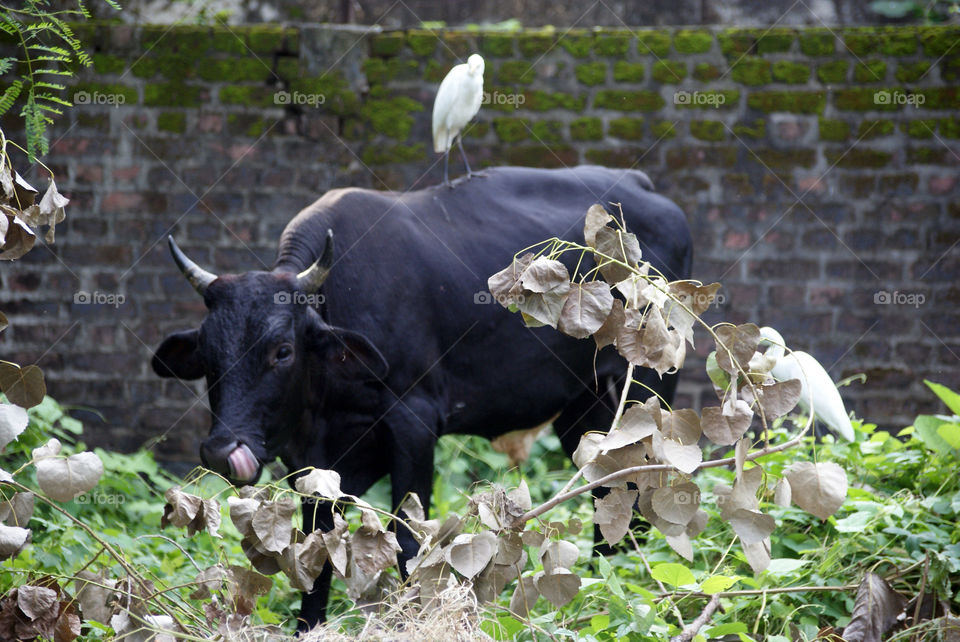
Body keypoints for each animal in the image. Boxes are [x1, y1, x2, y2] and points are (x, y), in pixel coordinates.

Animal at [151, 165, 693, 629]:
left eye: (282, 351)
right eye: (208, 353)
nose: (221, 449)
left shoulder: (413, 423)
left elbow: (410, 542)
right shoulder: (312, 460)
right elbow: (316, 551)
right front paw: (309, 625)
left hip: (645, 396)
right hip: (581, 413)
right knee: (607, 495)